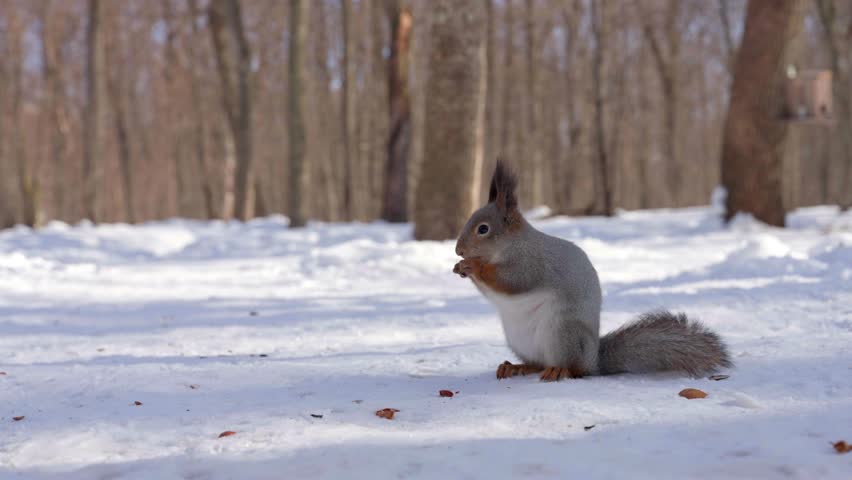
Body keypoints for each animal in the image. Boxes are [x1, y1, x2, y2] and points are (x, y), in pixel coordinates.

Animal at [453, 161, 732, 382]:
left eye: (483, 229)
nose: (458, 250)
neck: (511, 246)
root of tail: (593, 361)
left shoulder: (532, 263)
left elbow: (512, 281)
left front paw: (473, 266)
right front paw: (459, 267)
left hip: (562, 332)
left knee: (573, 369)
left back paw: (560, 371)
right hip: (520, 340)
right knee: (538, 363)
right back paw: (516, 367)